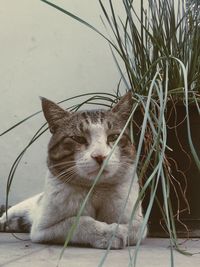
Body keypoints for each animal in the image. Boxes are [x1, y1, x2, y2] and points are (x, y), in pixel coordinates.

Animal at [0, 92, 147, 249]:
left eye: (114, 137)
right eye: (78, 138)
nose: (100, 156)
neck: (96, 189)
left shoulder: (139, 222)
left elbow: (133, 227)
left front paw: (119, 231)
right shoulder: (41, 229)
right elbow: (78, 221)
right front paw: (108, 233)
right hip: (22, 208)